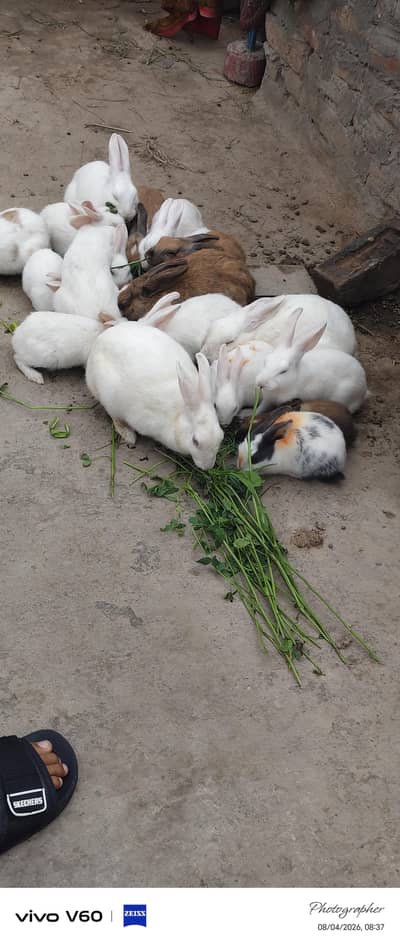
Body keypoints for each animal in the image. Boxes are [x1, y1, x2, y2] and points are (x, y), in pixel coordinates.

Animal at [86, 320, 224, 469]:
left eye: (221, 437)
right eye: (195, 441)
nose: (207, 467)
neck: (179, 415)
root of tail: (100, 338)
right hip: (109, 398)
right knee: (115, 418)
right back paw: (129, 436)